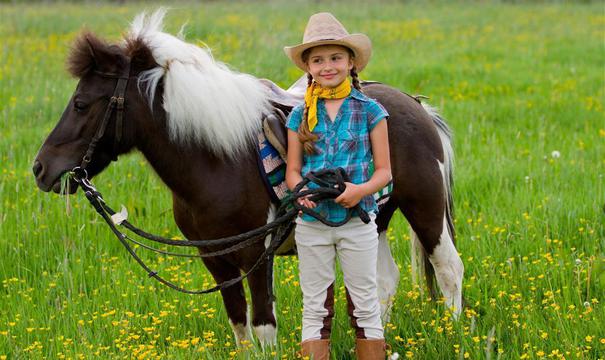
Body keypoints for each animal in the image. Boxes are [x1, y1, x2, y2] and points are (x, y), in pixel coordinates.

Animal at [31, 9, 462, 348]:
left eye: (81, 103)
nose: (40, 169)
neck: (217, 163)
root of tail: (416, 106)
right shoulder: (215, 261)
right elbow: (239, 325)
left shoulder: (257, 255)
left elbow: (263, 325)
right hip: (376, 218)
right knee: (383, 282)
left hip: (425, 208)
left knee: (448, 270)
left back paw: (454, 334)